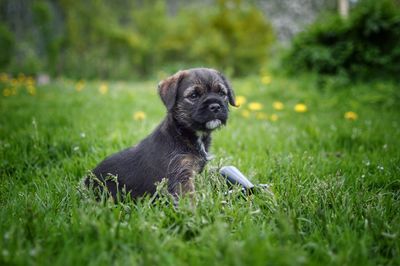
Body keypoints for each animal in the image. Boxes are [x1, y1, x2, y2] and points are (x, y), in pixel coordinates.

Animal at [84, 67, 234, 201]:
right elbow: (190, 199)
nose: (215, 106)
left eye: (222, 93)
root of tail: (86, 182)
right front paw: (194, 212)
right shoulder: (181, 176)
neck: (184, 133)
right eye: (193, 96)